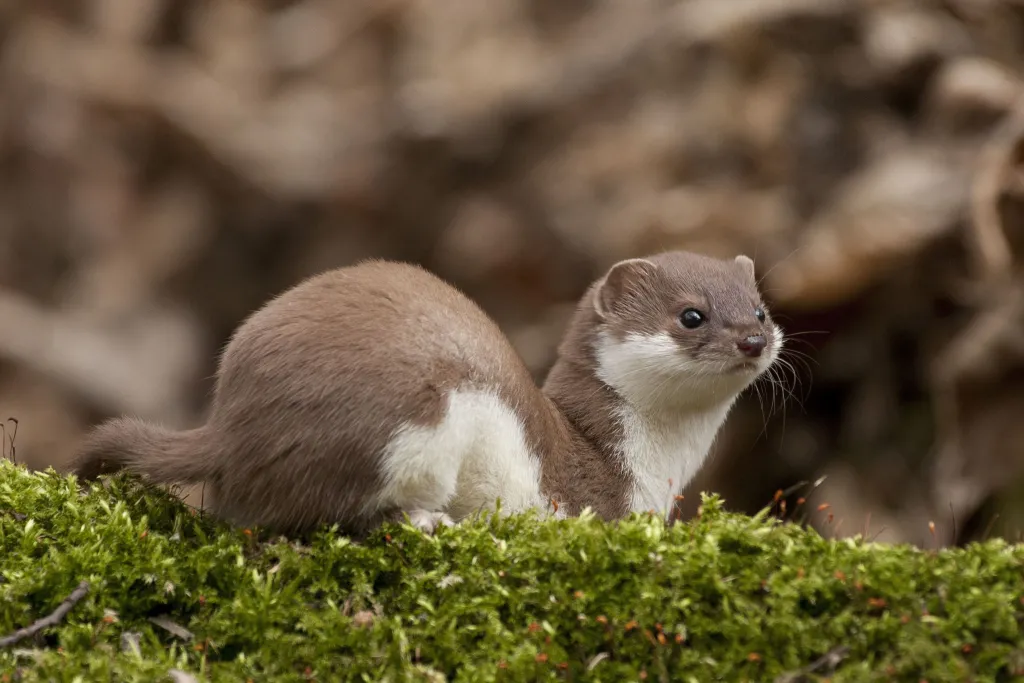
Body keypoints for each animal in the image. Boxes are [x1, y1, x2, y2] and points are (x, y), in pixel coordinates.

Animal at [74, 249, 782, 532]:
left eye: (760, 308)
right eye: (691, 315)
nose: (753, 340)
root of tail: (230, 423)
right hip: (416, 417)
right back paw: (424, 519)